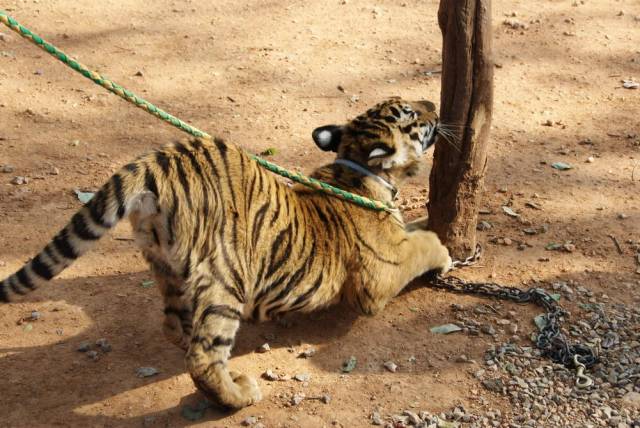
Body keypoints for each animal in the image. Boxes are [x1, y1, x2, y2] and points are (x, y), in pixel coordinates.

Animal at [1, 97, 450, 408]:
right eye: (412, 113)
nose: (435, 105)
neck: (358, 168)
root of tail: (159, 161)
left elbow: (414, 229)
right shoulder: (380, 274)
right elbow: (422, 246)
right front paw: (445, 252)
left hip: (165, 264)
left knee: (174, 326)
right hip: (227, 276)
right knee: (202, 355)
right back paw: (238, 395)